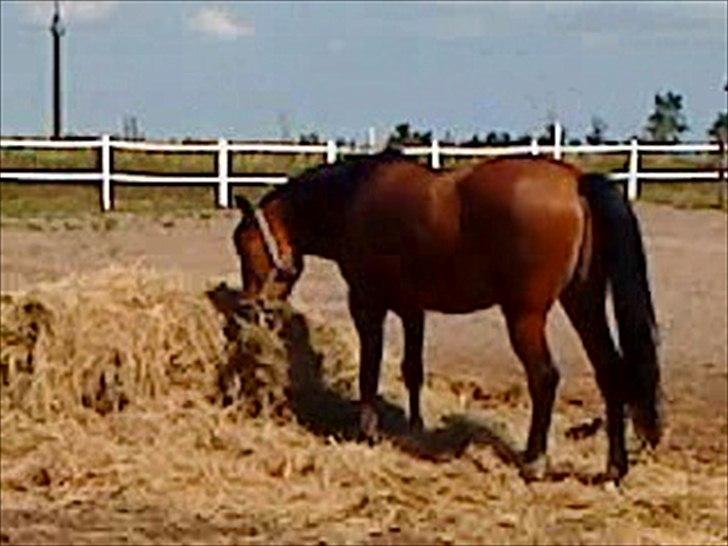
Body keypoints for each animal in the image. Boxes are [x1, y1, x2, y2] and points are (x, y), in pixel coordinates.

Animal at [231, 149, 662, 483]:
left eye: (244, 246)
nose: (252, 307)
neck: (352, 199)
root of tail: (575, 181)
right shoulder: (412, 308)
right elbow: (412, 369)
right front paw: (415, 427)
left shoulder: (367, 303)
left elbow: (370, 369)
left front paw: (367, 430)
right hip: (583, 301)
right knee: (610, 371)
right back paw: (614, 469)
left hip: (526, 314)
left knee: (545, 377)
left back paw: (534, 461)